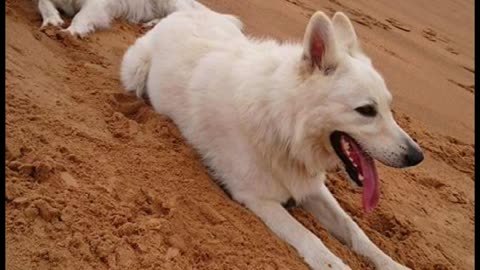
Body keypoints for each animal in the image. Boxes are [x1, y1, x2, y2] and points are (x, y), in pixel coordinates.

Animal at [120, 8, 424, 270]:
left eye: (388, 108)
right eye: (366, 111)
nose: (417, 157)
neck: (283, 124)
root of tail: (183, 13)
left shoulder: (312, 188)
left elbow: (355, 230)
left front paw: (392, 264)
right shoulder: (258, 198)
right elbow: (309, 237)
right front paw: (334, 262)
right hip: (135, 74)